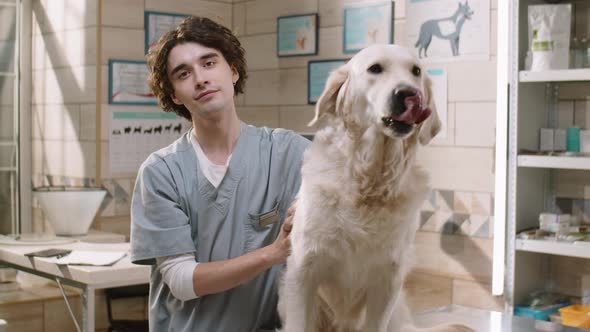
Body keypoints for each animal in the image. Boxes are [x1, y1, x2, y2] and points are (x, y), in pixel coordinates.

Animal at [280, 44, 478, 332]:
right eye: (375, 68)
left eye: (416, 71)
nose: (409, 93)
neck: (370, 182)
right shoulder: (303, 270)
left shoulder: (388, 281)